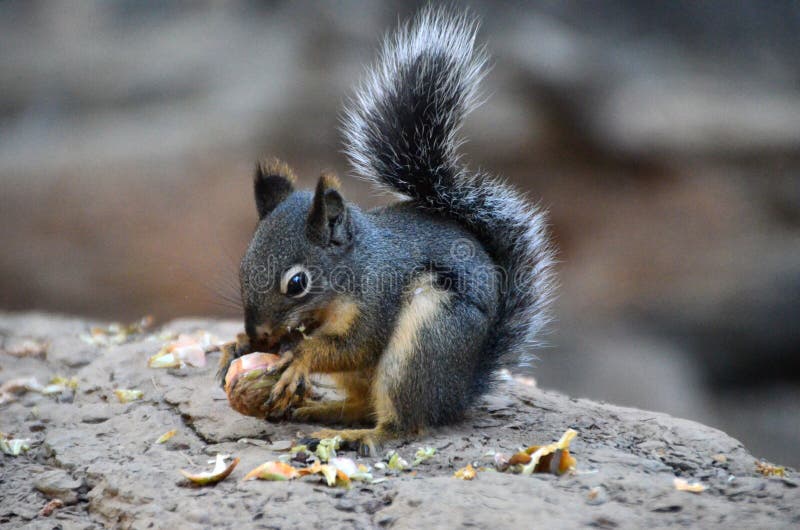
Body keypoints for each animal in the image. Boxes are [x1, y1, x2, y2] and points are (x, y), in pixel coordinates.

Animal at [220, 6, 556, 454]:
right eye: (243, 265)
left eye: (297, 283)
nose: (257, 334)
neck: (353, 271)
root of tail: (459, 393)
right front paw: (237, 345)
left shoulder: (378, 300)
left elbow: (354, 346)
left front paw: (300, 358)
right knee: (362, 404)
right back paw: (319, 411)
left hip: (424, 341)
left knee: (401, 425)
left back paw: (358, 434)